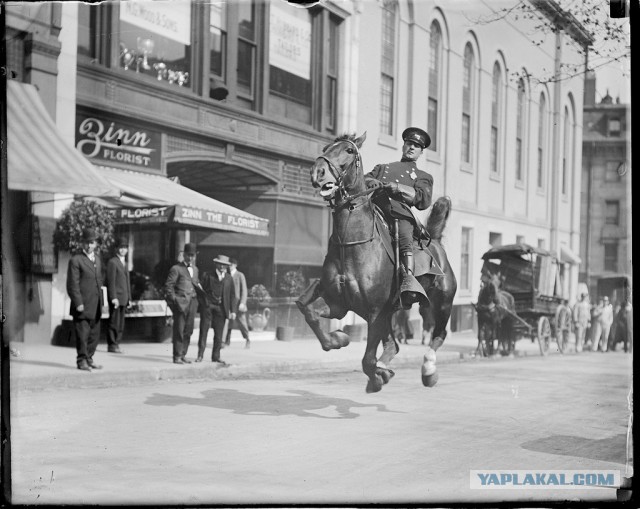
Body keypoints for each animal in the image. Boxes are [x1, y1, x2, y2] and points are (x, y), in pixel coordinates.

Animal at [298, 132, 458, 392]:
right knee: (393, 344)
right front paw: (339, 338)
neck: (351, 245)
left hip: (441, 303)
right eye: (326, 148)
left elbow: (367, 360)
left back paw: (428, 370)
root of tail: (435, 240)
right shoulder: (338, 302)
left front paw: (375, 377)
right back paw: (385, 367)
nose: (317, 172)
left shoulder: (375, 312)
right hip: (392, 311)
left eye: (349, 151)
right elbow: (308, 310)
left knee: (438, 335)